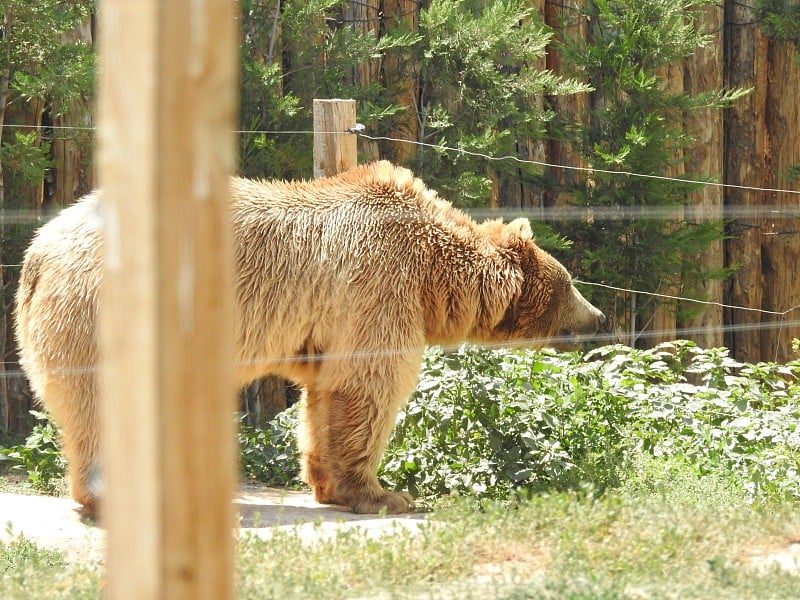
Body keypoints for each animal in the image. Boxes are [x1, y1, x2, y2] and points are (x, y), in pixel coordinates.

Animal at [15, 161, 604, 516]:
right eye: (570, 283)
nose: (597, 317)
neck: (434, 276)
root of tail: (38, 250)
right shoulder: (378, 286)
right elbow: (370, 384)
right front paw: (388, 494)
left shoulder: (329, 326)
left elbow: (327, 395)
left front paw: (328, 485)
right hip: (102, 313)